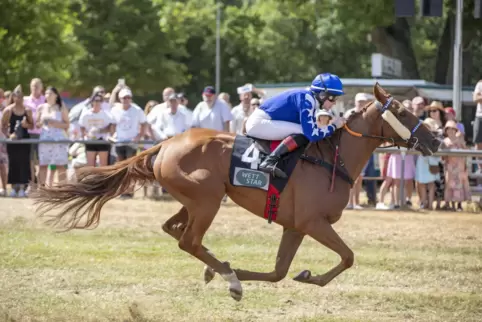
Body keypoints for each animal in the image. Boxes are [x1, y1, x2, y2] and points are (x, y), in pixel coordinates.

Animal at [33, 83, 440, 302]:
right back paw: (227, 276)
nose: (436, 139)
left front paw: (296, 275)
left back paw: (220, 269)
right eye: (402, 110)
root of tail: (165, 144)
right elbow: (349, 256)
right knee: (189, 240)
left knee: (175, 231)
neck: (331, 159)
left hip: (194, 200)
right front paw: (307, 277)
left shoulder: (295, 226)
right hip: (207, 200)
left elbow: (278, 272)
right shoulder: (314, 222)